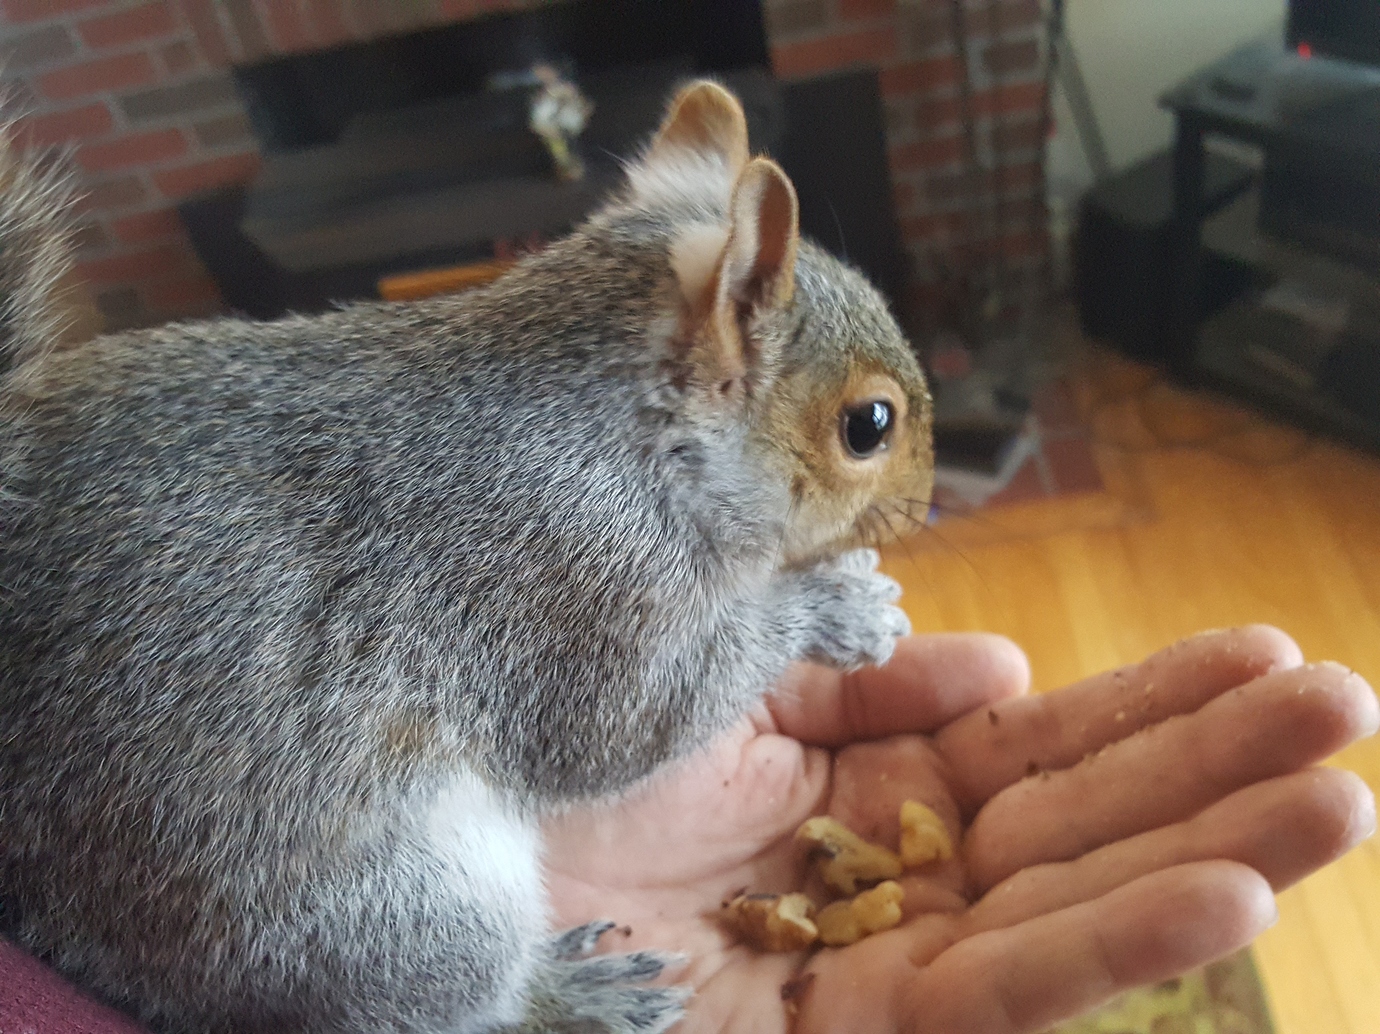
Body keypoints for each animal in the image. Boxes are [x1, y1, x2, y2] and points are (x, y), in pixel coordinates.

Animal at [0, 82, 933, 1034]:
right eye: (868, 425)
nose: (925, 502)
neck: (627, 436)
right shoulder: (562, 582)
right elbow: (626, 726)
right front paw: (839, 610)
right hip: (389, 922)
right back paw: (571, 995)